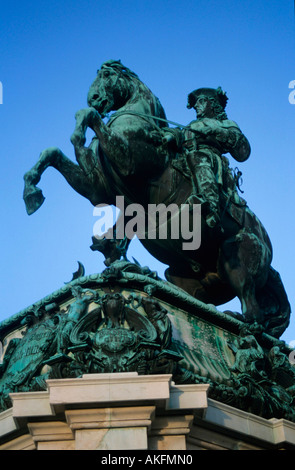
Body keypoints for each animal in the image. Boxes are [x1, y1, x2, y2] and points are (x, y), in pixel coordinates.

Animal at [23, 60, 292, 338]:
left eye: (106, 74)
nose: (94, 98)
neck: (138, 122)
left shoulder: (128, 161)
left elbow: (89, 117)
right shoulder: (96, 187)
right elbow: (53, 151)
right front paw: (31, 192)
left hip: (237, 252)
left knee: (253, 315)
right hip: (185, 276)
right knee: (189, 296)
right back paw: (145, 276)